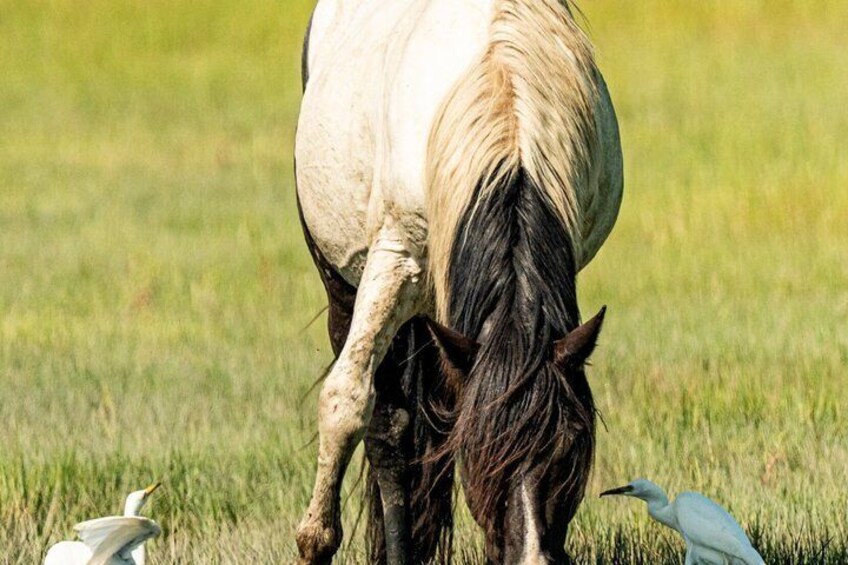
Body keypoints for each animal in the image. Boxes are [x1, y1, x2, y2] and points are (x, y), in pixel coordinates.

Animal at [295, 0, 623, 563]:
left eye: (570, 451)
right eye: (478, 453)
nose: (532, 557)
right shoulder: (394, 261)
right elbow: (347, 402)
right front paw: (315, 540)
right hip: (344, 278)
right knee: (386, 422)